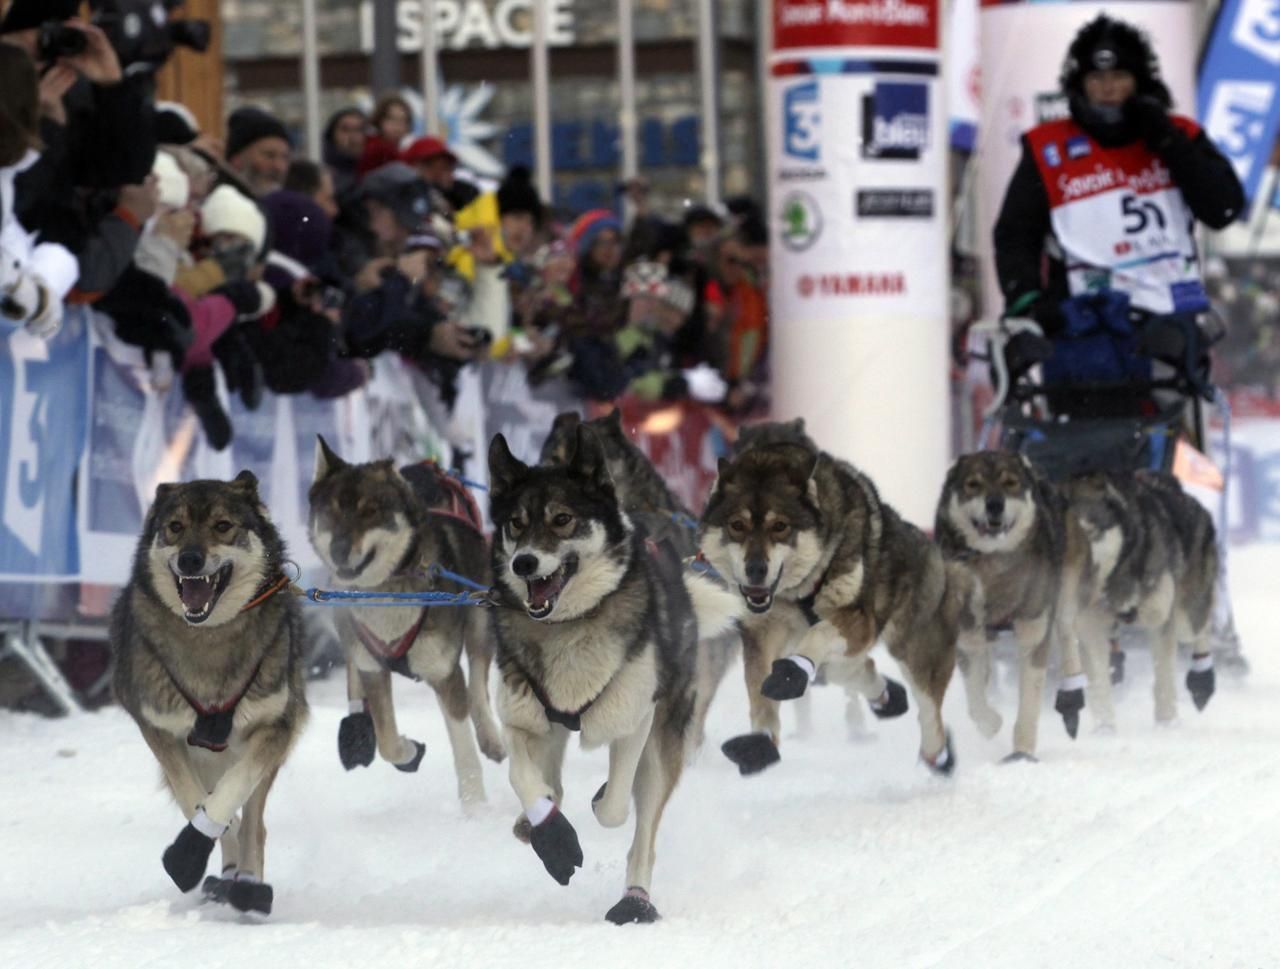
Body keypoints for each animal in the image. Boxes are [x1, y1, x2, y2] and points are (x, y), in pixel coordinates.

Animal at [109, 468, 307, 916]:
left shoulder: (275, 726)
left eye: (222, 526)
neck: (209, 638)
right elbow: (195, 798)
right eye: (175, 527)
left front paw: (194, 852)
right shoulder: (159, 730)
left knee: (255, 821)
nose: (190, 560)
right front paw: (196, 852)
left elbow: (234, 792)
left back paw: (248, 884)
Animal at [483, 424, 742, 921]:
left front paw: (599, 801)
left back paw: (634, 901)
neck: (567, 628)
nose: (524, 562)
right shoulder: (521, 719)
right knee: (552, 778)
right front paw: (551, 834)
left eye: (562, 519)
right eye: (516, 523)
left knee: (644, 825)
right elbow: (524, 779)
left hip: (665, 734)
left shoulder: (634, 719)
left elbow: (616, 808)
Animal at [701, 442, 967, 773]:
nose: (756, 570)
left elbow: (817, 636)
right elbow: (759, 691)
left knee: (929, 711)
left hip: (914, 650)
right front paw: (758, 744)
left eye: (780, 526)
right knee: (855, 670)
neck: (798, 592)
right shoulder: (760, 632)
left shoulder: (857, 621)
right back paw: (887, 697)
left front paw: (792, 673)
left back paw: (935, 755)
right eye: (737, 525)